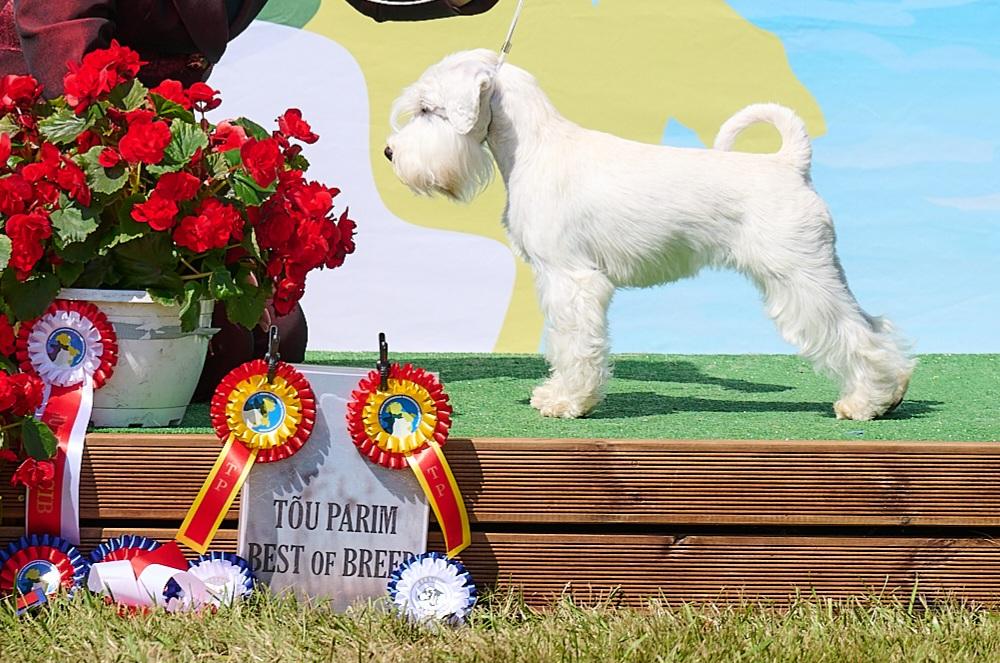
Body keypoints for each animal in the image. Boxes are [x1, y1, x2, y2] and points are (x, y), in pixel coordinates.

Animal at [385, 49, 914, 421]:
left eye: (429, 109)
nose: (391, 153)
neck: (535, 148)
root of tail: (790, 164)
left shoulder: (571, 279)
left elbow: (575, 344)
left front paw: (568, 401)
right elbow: (564, 343)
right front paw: (559, 393)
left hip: (800, 274)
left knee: (855, 334)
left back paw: (867, 401)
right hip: (816, 271)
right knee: (872, 324)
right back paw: (891, 393)